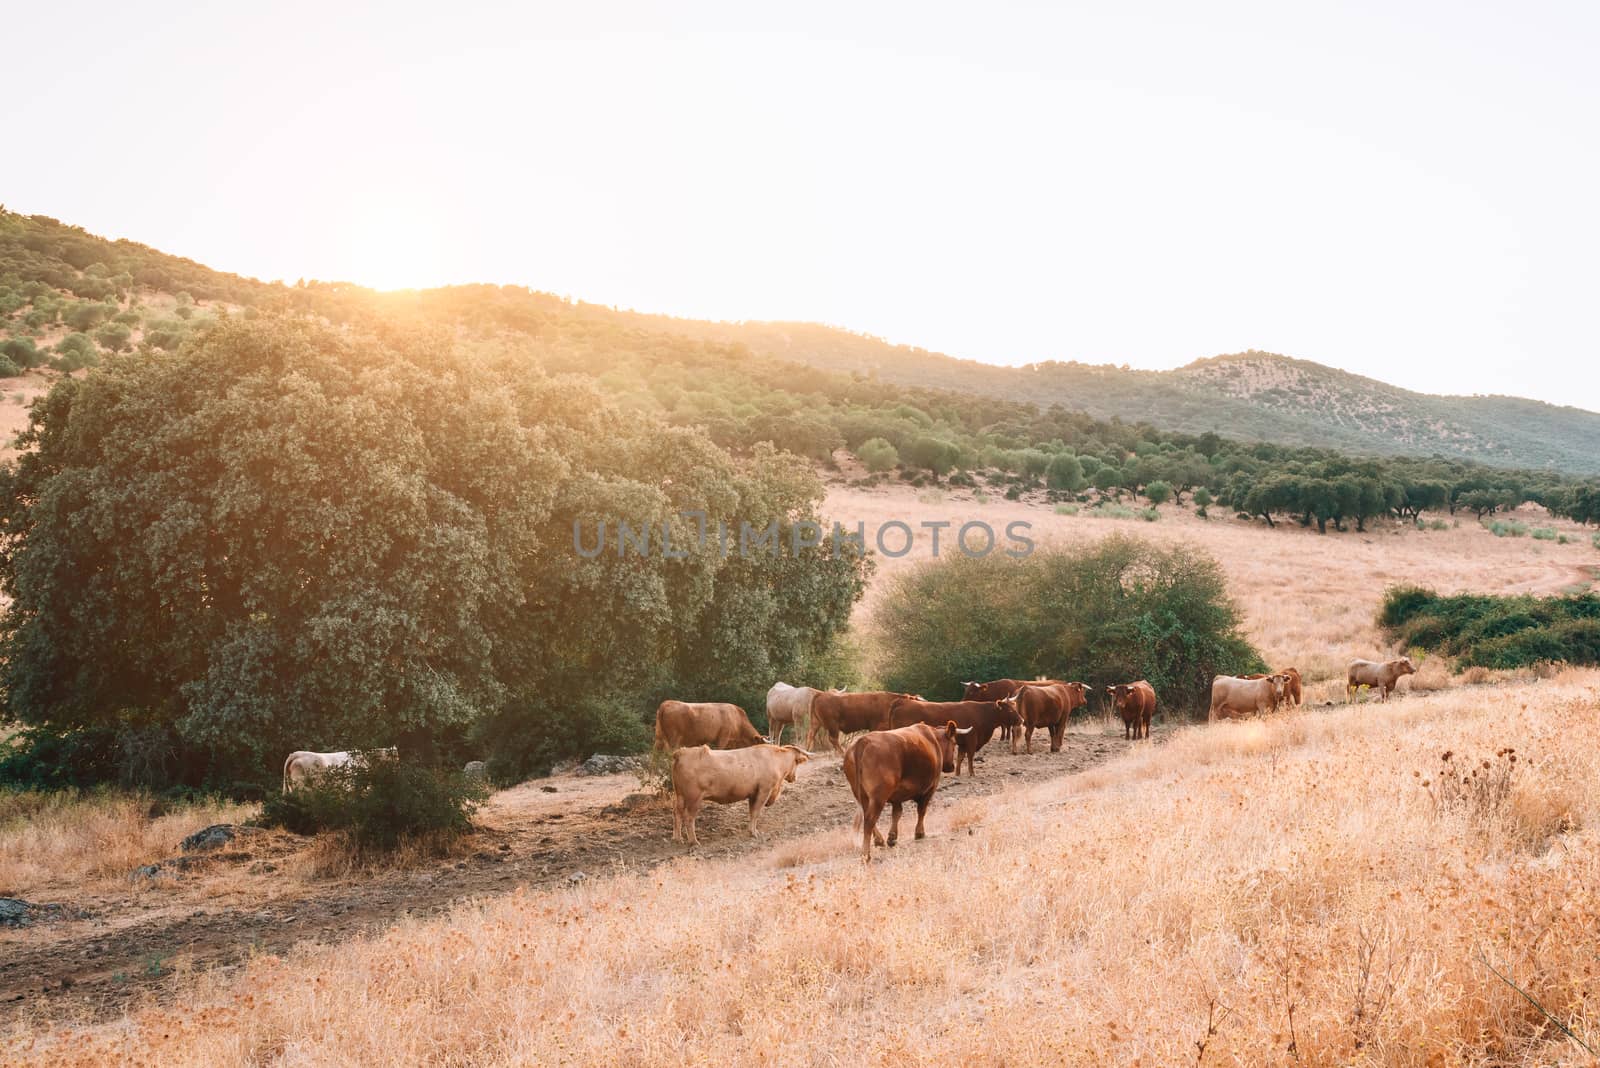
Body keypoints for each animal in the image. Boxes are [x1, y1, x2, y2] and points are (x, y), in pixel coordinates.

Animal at [668, 741, 812, 844]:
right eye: (797, 763)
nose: (794, 778)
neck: (774, 759)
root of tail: (681, 752)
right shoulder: (764, 791)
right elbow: (756, 812)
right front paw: (754, 833)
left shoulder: (753, 794)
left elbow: (751, 812)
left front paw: (751, 831)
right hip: (694, 798)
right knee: (689, 817)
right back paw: (694, 841)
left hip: (679, 796)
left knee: (677, 813)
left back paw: (677, 838)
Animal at [844, 722, 966, 863]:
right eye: (954, 742)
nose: (951, 766)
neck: (933, 739)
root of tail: (862, 741)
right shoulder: (930, 788)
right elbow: (921, 811)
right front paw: (919, 833)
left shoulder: (897, 796)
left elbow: (897, 813)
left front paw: (892, 837)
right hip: (878, 797)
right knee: (869, 820)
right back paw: (866, 855)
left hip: (862, 794)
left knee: (866, 815)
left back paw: (879, 841)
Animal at [883, 697, 1017, 770]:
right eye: (1010, 710)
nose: (1020, 719)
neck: (983, 713)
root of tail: (902, 701)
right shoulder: (971, 740)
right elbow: (970, 757)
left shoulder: (963, 742)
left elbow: (961, 758)